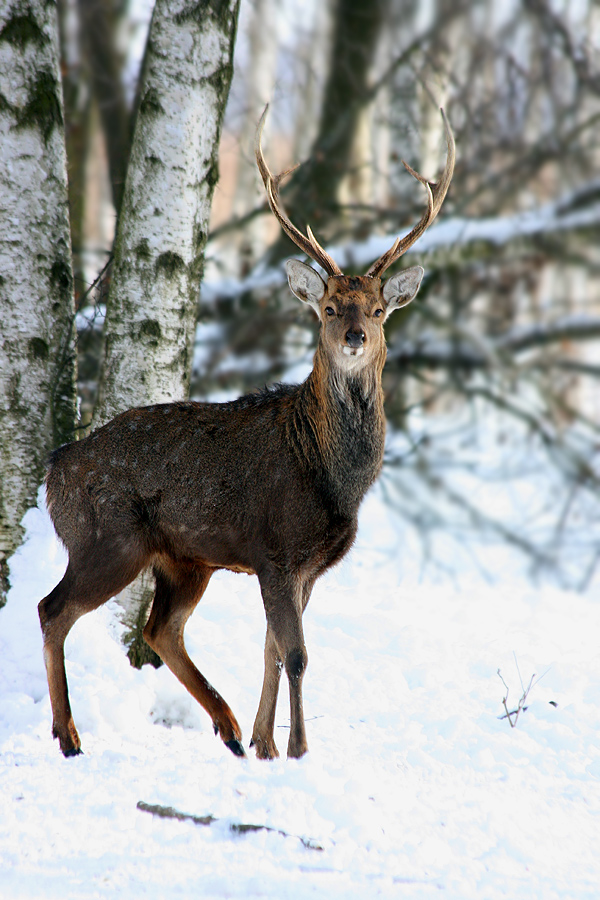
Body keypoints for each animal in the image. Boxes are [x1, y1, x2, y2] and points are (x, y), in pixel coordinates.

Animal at [38, 109, 454, 764]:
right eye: (330, 307)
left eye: (379, 309)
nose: (355, 337)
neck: (333, 477)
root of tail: (55, 466)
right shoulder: (275, 550)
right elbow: (297, 653)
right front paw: (299, 749)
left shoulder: (305, 568)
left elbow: (272, 650)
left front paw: (265, 744)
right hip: (106, 539)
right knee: (53, 610)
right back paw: (70, 736)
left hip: (184, 558)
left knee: (161, 629)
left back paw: (228, 727)